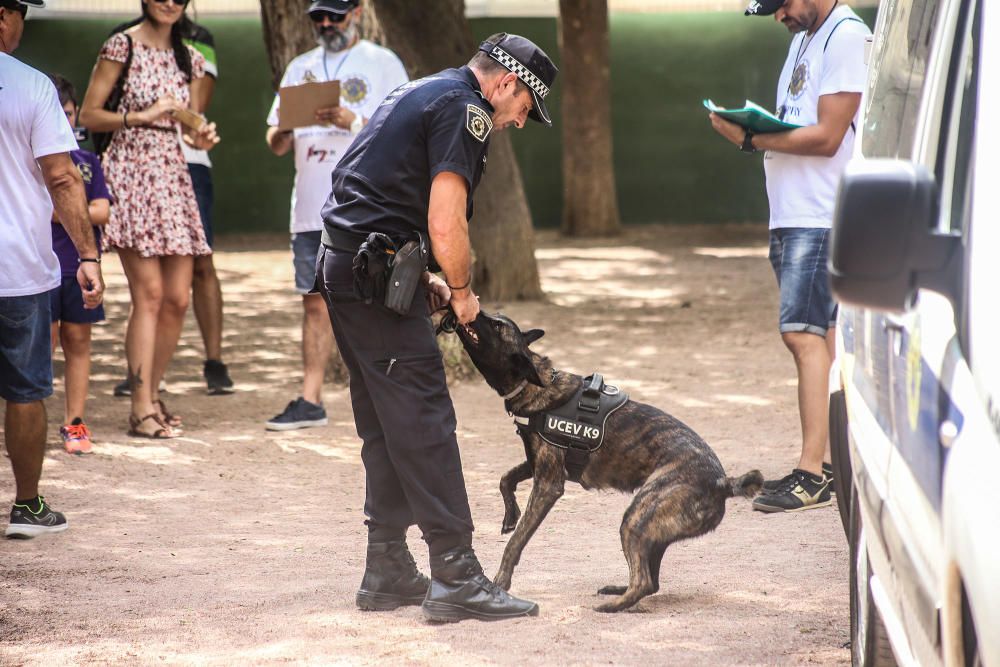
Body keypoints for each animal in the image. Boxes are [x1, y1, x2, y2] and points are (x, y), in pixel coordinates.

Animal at [456, 310, 764, 612]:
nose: (471, 309)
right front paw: (510, 515)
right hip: (653, 533)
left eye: (497, 325)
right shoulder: (537, 465)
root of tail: (722, 482)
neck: (535, 386)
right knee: (652, 580)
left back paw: (612, 605)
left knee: (644, 581)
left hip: (636, 519)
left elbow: (515, 542)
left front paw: (500, 582)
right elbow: (505, 479)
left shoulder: (548, 484)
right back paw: (619, 591)